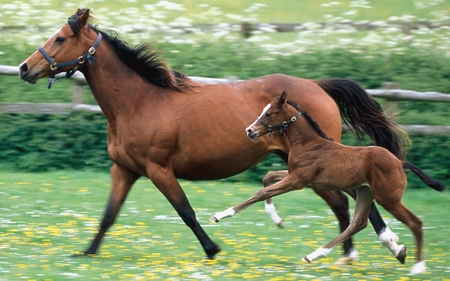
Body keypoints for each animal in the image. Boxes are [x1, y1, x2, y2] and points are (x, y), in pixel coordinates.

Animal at [17, 8, 406, 258]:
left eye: (60, 38)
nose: (24, 68)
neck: (139, 101)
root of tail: (319, 86)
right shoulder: (124, 169)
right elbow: (109, 214)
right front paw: (86, 253)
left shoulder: (159, 169)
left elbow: (186, 211)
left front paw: (212, 248)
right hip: (304, 165)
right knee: (343, 203)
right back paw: (349, 254)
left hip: (320, 162)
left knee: (354, 201)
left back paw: (384, 247)